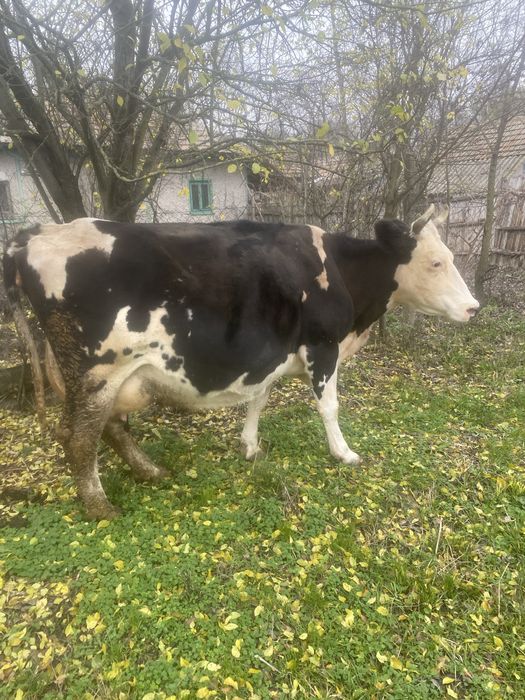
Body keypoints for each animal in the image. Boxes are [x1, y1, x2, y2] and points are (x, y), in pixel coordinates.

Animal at [3, 205, 479, 520]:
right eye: (436, 262)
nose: (474, 308)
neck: (341, 273)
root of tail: (38, 233)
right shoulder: (323, 345)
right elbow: (329, 406)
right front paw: (343, 453)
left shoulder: (271, 352)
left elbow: (258, 398)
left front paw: (249, 444)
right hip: (96, 371)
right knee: (79, 437)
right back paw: (101, 507)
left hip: (110, 375)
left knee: (111, 428)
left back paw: (150, 471)